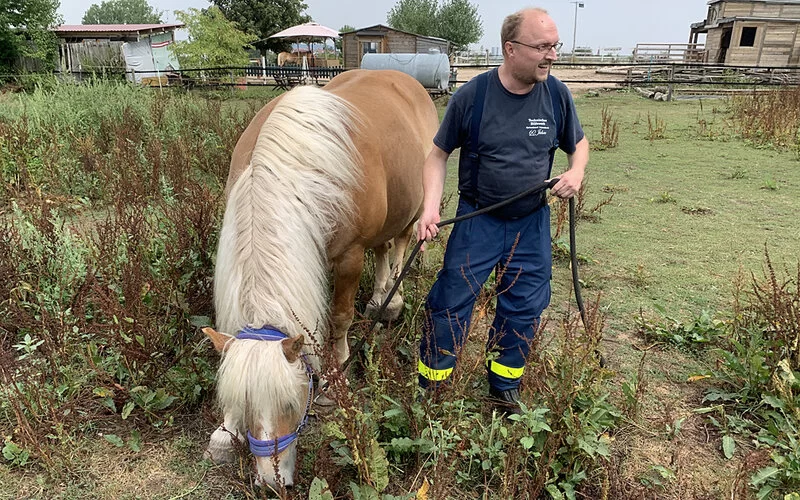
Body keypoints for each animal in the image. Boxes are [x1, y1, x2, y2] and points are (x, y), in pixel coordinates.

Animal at [200, 70, 438, 488]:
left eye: (292, 403)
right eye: (243, 404)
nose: (272, 481)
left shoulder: (349, 256)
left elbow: (339, 320)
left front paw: (334, 379)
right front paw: (225, 433)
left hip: (414, 207)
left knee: (400, 244)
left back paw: (390, 302)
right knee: (384, 248)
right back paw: (379, 298)